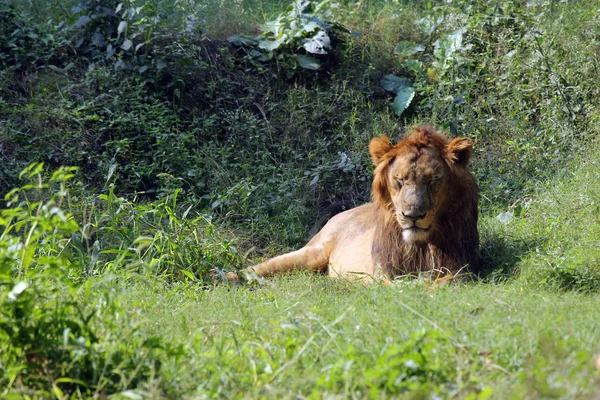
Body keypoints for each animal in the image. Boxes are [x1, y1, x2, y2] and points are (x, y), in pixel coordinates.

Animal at [227, 125, 480, 282]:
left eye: (433, 181)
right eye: (399, 180)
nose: (413, 215)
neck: (419, 245)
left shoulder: (460, 268)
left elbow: (444, 282)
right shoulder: (381, 271)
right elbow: (392, 286)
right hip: (313, 252)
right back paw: (225, 277)